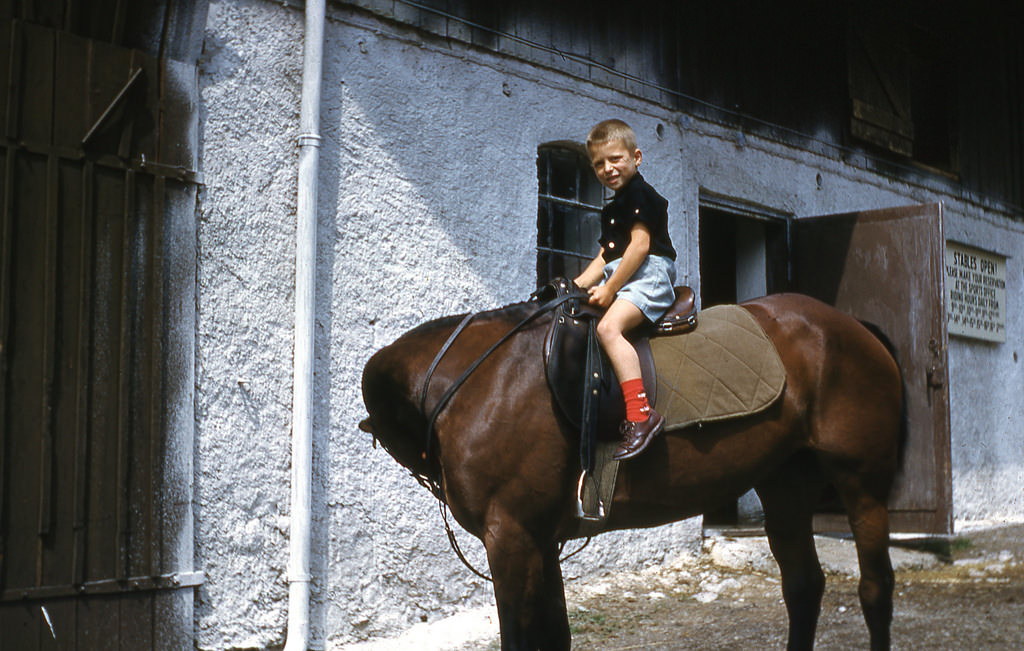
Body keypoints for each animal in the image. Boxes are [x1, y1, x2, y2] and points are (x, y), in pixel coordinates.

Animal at [360, 290, 905, 651]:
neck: (480, 380)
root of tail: (853, 327)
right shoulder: (540, 539)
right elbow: (556, 636)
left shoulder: (512, 537)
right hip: (784, 486)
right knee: (804, 586)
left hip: (863, 486)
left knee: (875, 589)